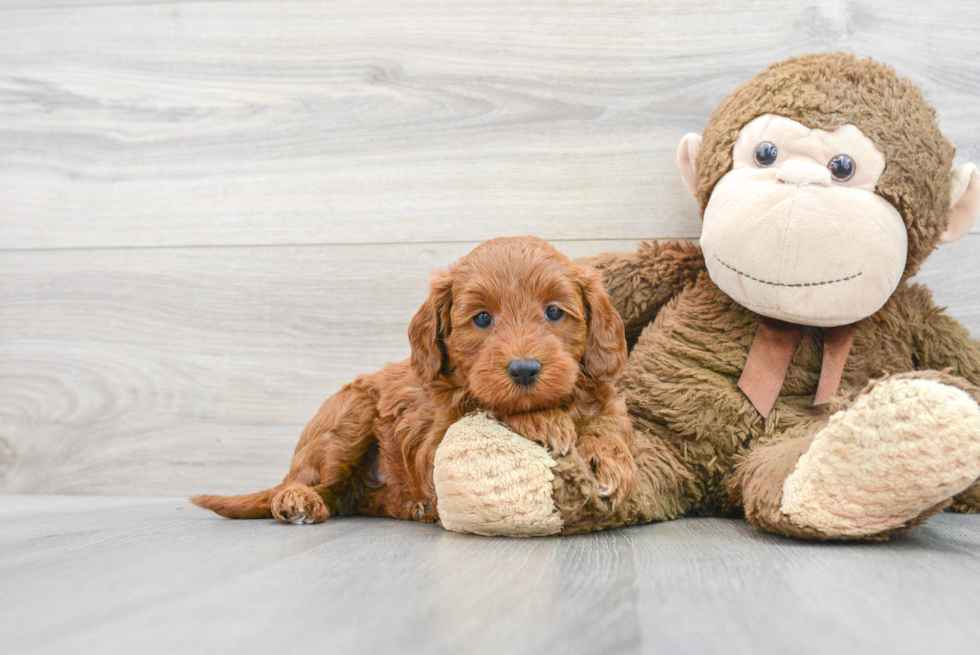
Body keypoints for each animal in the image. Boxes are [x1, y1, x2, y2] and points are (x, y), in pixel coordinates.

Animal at [193, 238, 636, 524]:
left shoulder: (609, 403)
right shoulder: (434, 445)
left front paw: (611, 462)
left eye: (554, 312)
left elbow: (611, 426)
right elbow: (485, 405)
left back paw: (410, 506)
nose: (524, 369)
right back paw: (298, 500)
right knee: (317, 485)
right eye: (482, 318)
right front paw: (543, 420)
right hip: (348, 416)